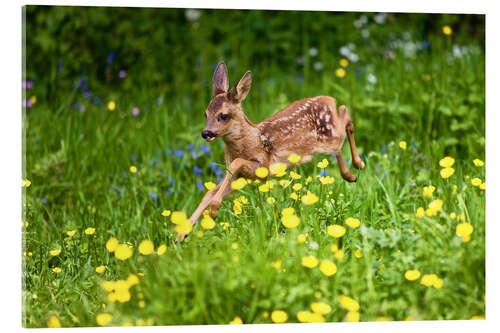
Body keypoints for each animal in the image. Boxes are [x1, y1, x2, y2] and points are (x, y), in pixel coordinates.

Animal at [179, 61, 364, 239]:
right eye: (205, 113)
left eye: (223, 115)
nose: (206, 133)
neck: (251, 139)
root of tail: (329, 99)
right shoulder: (241, 177)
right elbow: (210, 191)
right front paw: (182, 234)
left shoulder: (263, 166)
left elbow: (235, 163)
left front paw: (213, 211)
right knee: (342, 123)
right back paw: (351, 174)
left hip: (329, 138)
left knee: (345, 115)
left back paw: (358, 165)